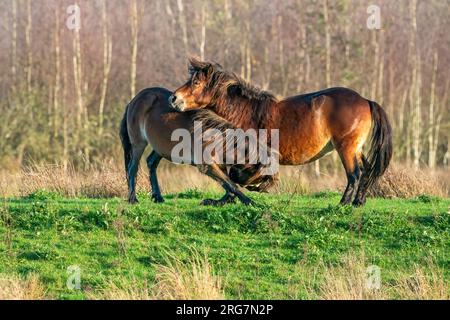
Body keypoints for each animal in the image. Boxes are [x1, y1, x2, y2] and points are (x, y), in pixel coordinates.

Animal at [118, 86, 274, 205]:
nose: (263, 189)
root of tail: (134, 100)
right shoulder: (207, 166)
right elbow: (230, 184)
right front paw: (250, 202)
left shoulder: (218, 164)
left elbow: (228, 185)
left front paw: (215, 201)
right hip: (138, 144)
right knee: (132, 168)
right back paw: (133, 199)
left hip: (161, 147)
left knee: (151, 163)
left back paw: (158, 197)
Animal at [171, 58, 392, 206]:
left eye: (196, 83)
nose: (173, 98)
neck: (246, 111)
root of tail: (365, 100)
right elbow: (231, 175)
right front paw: (224, 199)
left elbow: (235, 175)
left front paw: (255, 187)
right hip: (355, 148)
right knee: (366, 170)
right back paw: (358, 202)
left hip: (345, 147)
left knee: (355, 173)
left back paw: (343, 204)